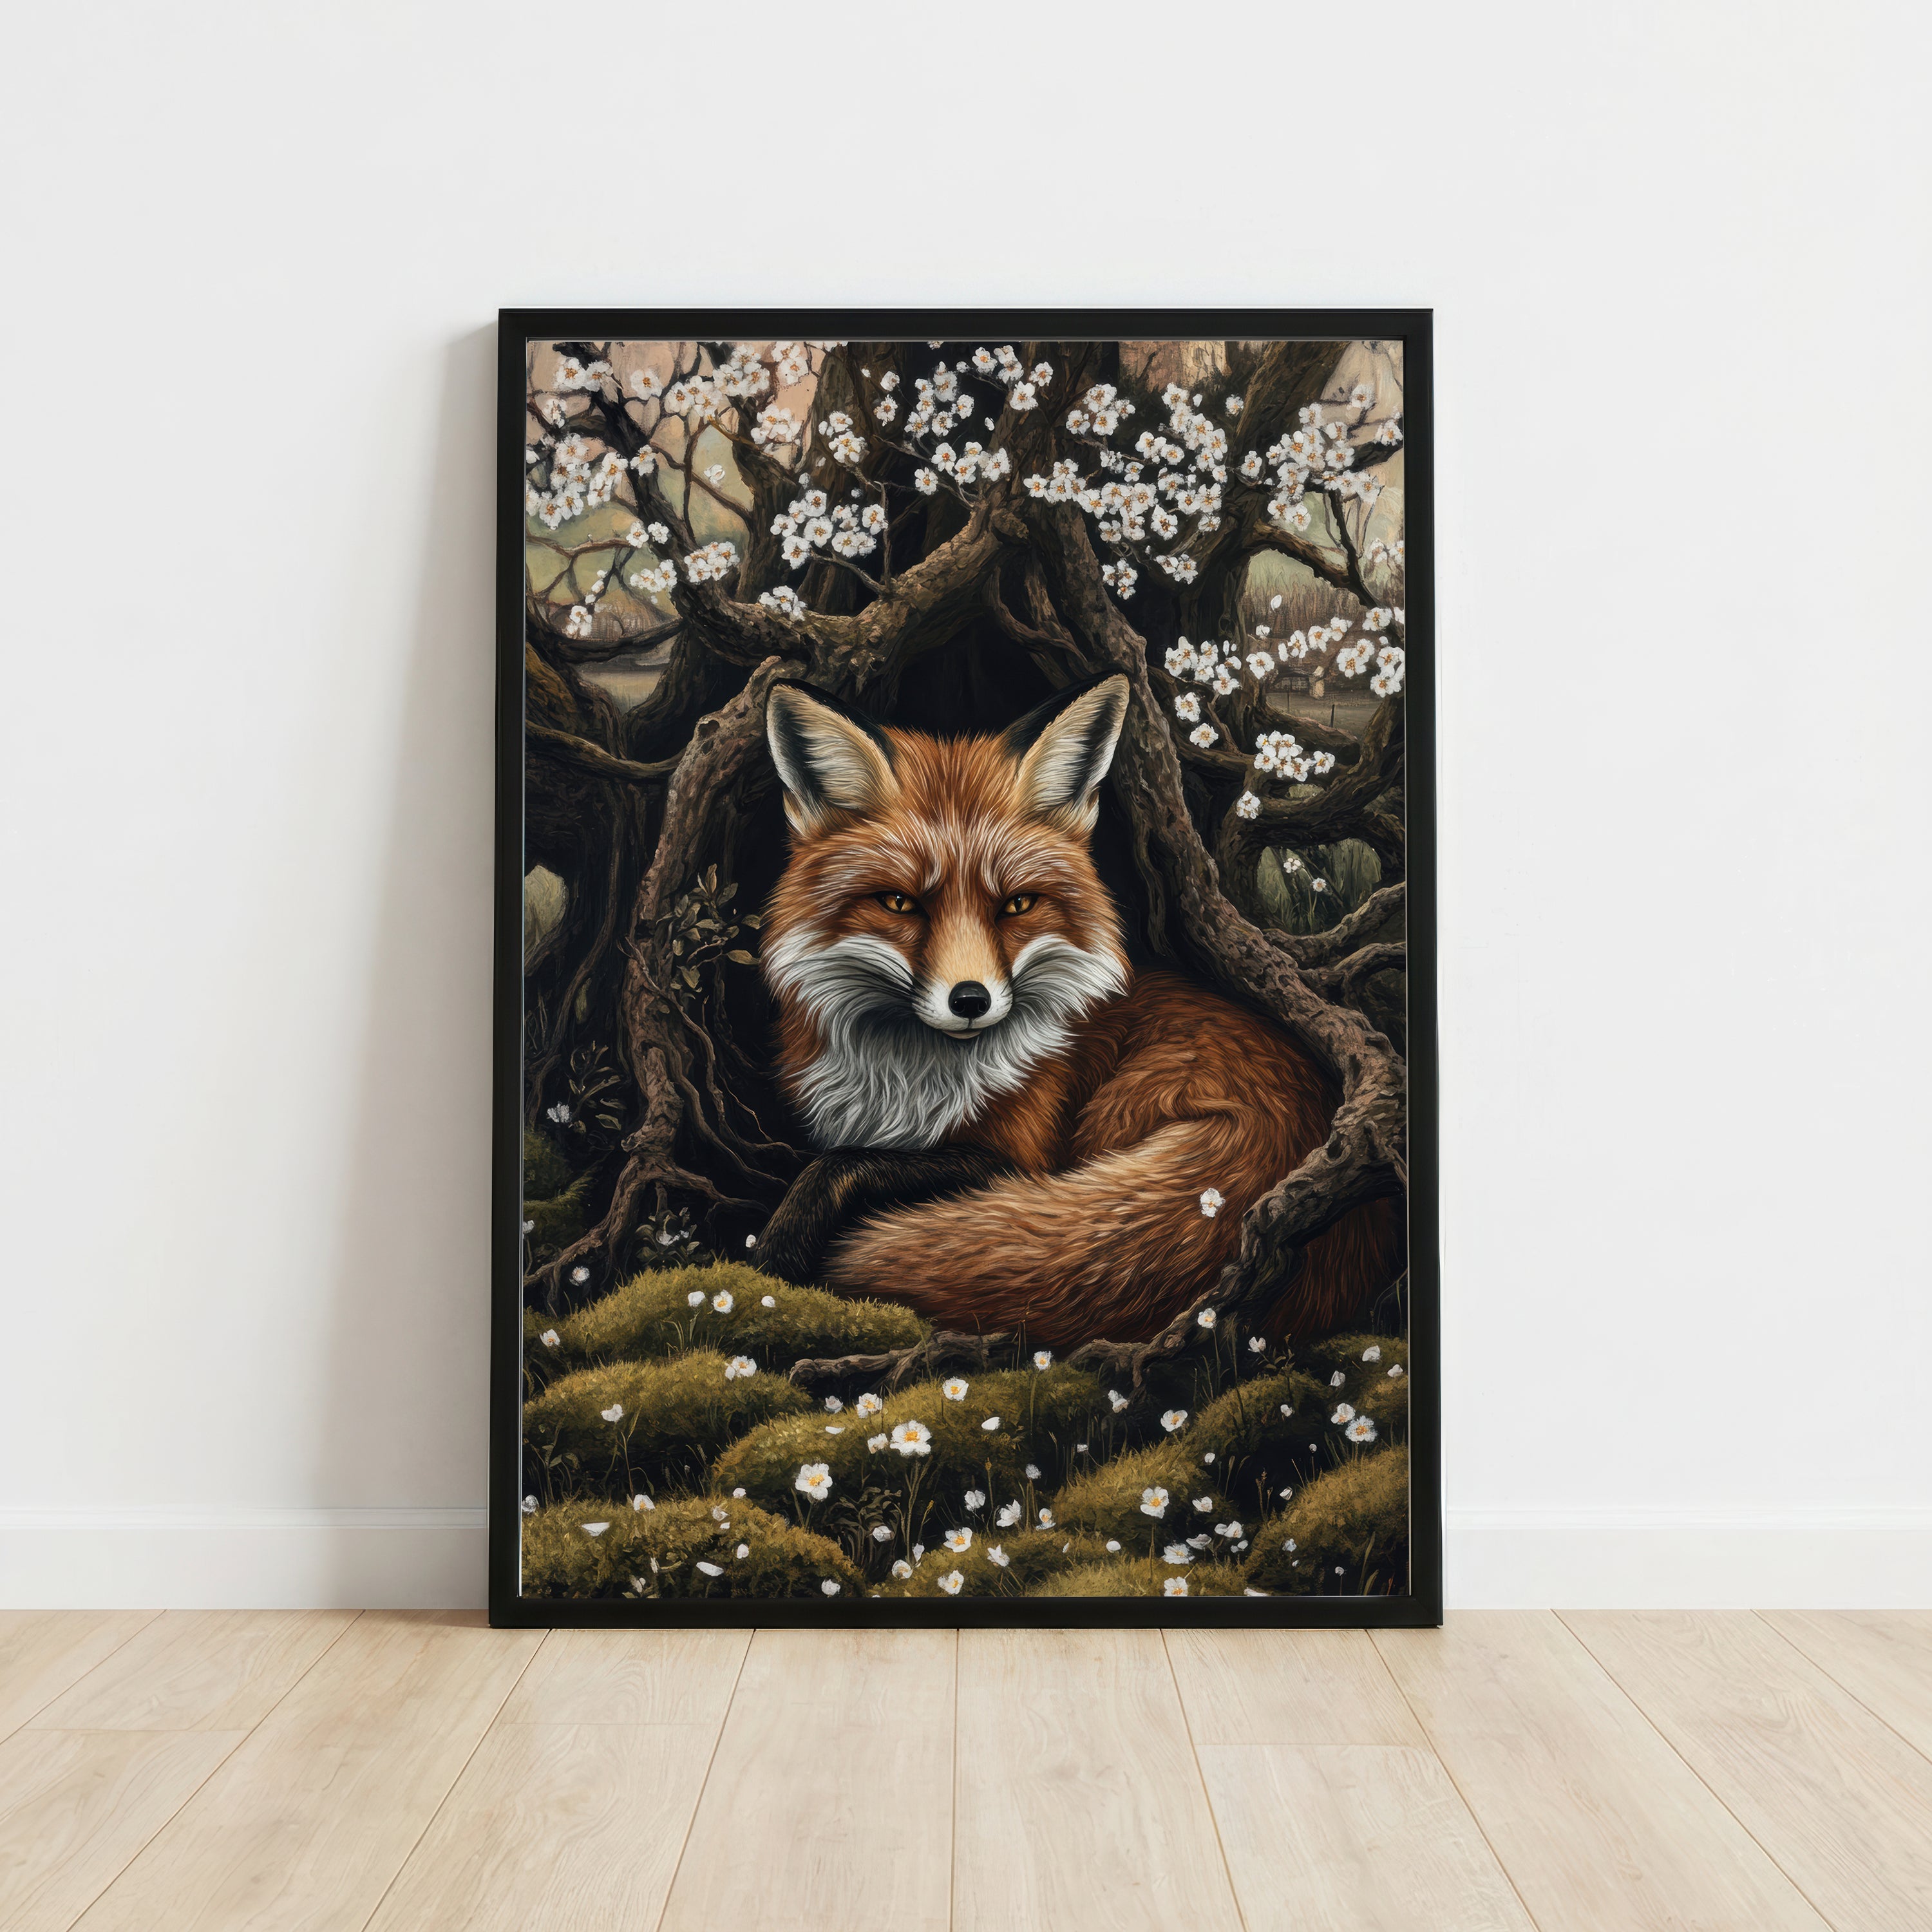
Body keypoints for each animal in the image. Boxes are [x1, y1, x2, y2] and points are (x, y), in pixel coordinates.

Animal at [754, 672, 1402, 1346]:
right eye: (900, 903)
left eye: (1017, 905)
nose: (971, 1000)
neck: (912, 1079)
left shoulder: (1016, 1156)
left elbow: (845, 1163)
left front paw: (779, 1249)